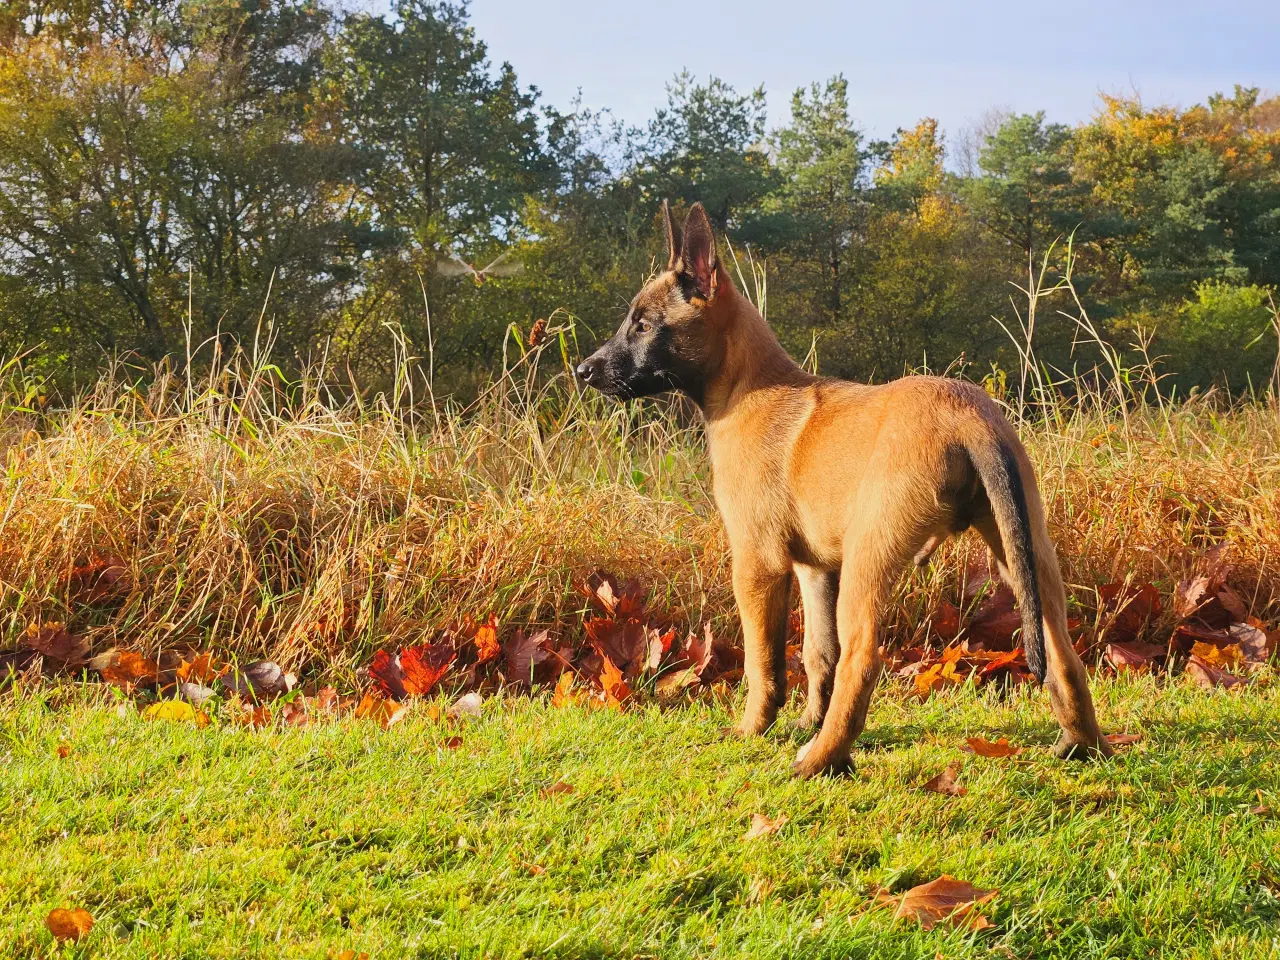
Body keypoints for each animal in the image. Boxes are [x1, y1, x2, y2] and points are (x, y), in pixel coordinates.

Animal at [581, 200, 1111, 773]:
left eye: (642, 325)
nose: (584, 370)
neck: (749, 389)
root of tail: (968, 416)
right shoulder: (815, 568)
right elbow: (818, 654)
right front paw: (806, 719)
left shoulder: (758, 563)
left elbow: (765, 663)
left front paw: (753, 728)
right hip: (1023, 549)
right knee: (1061, 648)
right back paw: (1082, 744)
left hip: (870, 555)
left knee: (864, 657)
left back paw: (821, 759)